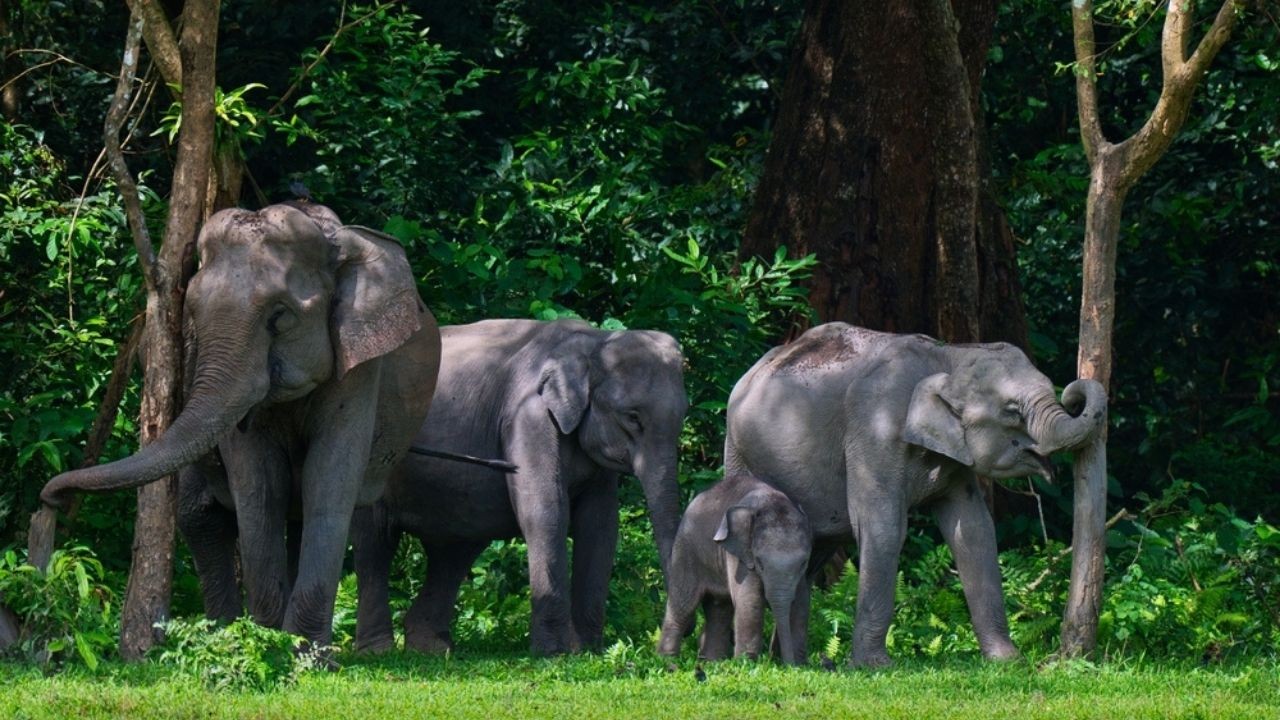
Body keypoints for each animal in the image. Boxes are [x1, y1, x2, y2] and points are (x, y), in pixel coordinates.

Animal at [38, 202, 440, 645]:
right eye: (192, 318)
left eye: (279, 317)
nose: (51, 500)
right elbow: (258, 485)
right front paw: (268, 641)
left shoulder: (360, 366)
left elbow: (329, 479)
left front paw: (303, 651)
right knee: (200, 515)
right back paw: (223, 631)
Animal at [350, 316, 691, 653]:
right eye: (632, 417)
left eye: (683, 416)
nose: (677, 644)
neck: (594, 341)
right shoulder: (528, 416)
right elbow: (545, 511)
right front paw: (555, 654)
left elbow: (600, 525)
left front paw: (587, 650)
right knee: (374, 544)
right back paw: (379, 651)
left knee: (454, 551)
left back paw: (432, 650)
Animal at [660, 474, 808, 666]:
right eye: (759, 562)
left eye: (803, 563)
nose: (789, 666)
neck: (771, 501)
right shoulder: (739, 557)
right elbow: (750, 601)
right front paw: (747, 665)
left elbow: (801, 603)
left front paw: (801, 665)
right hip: (686, 550)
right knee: (682, 604)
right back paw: (667, 663)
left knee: (719, 609)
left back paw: (713, 663)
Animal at [727, 322, 1105, 666]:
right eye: (1012, 412)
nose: (1074, 393)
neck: (948, 356)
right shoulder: (874, 430)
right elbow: (884, 528)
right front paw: (874, 667)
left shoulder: (954, 458)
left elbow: (973, 529)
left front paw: (1008, 661)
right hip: (738, 453)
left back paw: (791, 662)